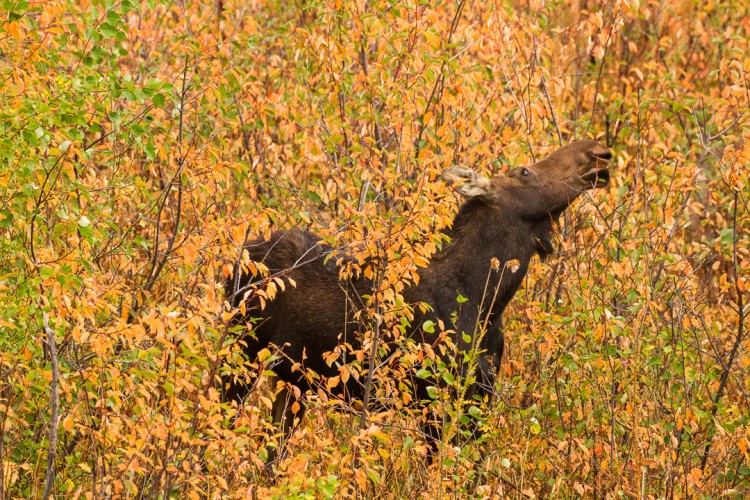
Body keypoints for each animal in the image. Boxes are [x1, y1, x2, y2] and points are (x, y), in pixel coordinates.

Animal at [223, 139, 612, 462]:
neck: (486, 301)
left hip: (292, 380)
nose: (597, 152)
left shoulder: (480, 398)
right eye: (525, 172)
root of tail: (239, 257)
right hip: (241, 355)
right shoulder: (432, 398)